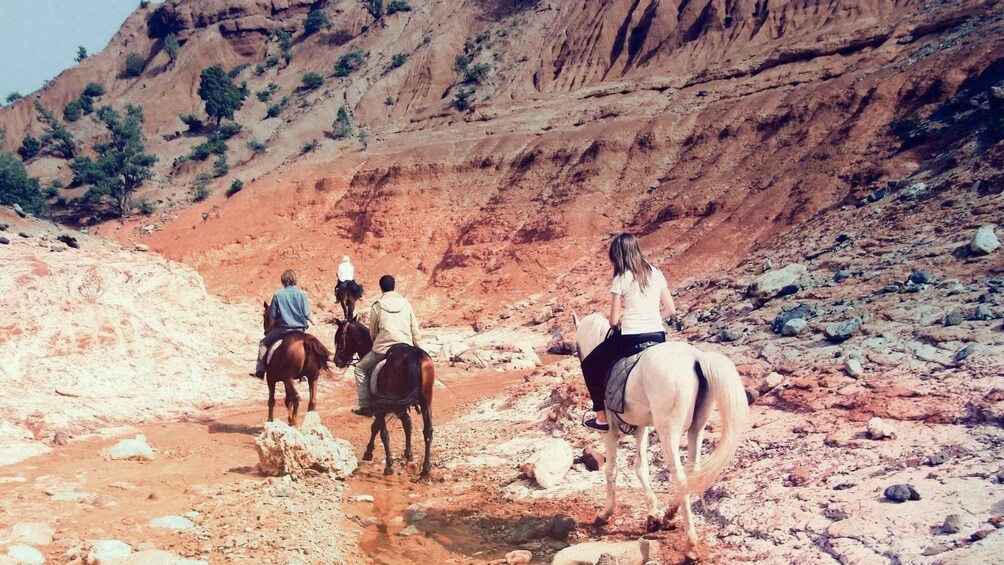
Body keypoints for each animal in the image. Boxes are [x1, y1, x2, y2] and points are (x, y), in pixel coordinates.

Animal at [333, 319, 435, 477]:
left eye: (339, 338)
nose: (336, 361)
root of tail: (415, 356)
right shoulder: (391, 406)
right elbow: (400, 425)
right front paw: (407, 455)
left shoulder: (381, 406)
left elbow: (381, 431)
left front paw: (386, 464)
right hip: (424, 402)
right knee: (427, 430)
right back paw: (425, 468)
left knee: (390, 431)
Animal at [578, 311, 750, 561]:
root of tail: (697, 358)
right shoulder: (641, 427)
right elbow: (641, 468)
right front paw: (653, 516)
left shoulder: (610, 430)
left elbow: (611, 470)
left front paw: (605, 513)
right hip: (696, 429)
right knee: (692, 471)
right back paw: (670, 514)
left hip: (669, 432)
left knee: (679, 476)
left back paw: (690, 545)